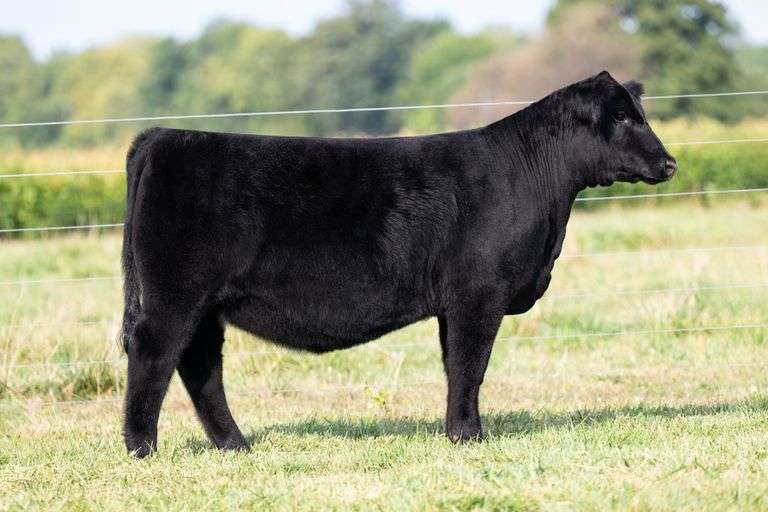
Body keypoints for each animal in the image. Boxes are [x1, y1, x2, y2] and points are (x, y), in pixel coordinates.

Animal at [121, 71, 676, 457]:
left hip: (204, 304)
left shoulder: (456, 301)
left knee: (199, 365)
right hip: (175, 294)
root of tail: (165, 137)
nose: (669, 163)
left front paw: (457, 432)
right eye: (622, 117)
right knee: (154, 352)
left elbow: (456, 365)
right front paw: (468, 436)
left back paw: (234, 444)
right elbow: (471, 364)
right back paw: (141, 446)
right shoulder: (478, 292)